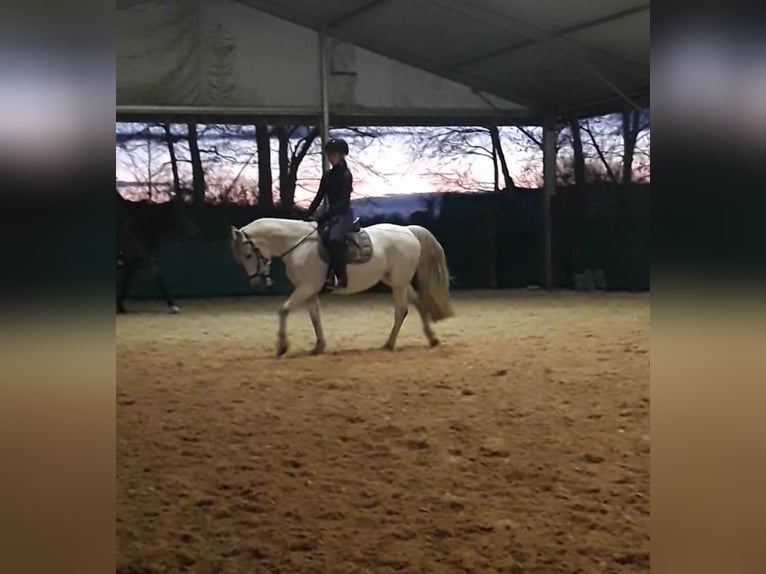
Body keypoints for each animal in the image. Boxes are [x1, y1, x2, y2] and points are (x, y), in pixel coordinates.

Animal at [231, 219, 452, 358]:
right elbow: (315, 317)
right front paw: (319, 347)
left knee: (401, 310)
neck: (298, 245)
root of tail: (407, 230)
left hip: (398, 283)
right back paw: (432, 339)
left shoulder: (306, 287)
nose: (257, 284)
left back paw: (389, 344)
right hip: (398, 282)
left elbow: (283, 310)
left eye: (248, 255)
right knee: (419, 304)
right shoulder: (309, 290)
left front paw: (282, 346)